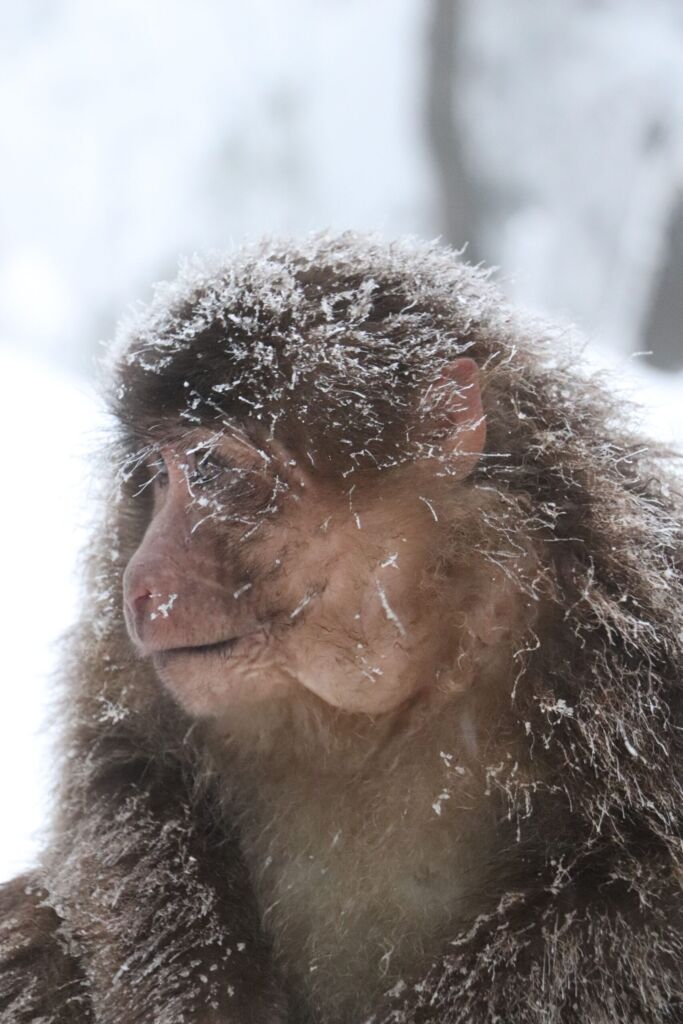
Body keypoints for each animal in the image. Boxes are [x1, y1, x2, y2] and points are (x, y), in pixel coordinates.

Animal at [0, 233, 681, 1024]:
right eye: (159, 477)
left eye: (212, 470)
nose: (138, 584)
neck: (379, 704)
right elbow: (130, 769)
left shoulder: (631, 653)